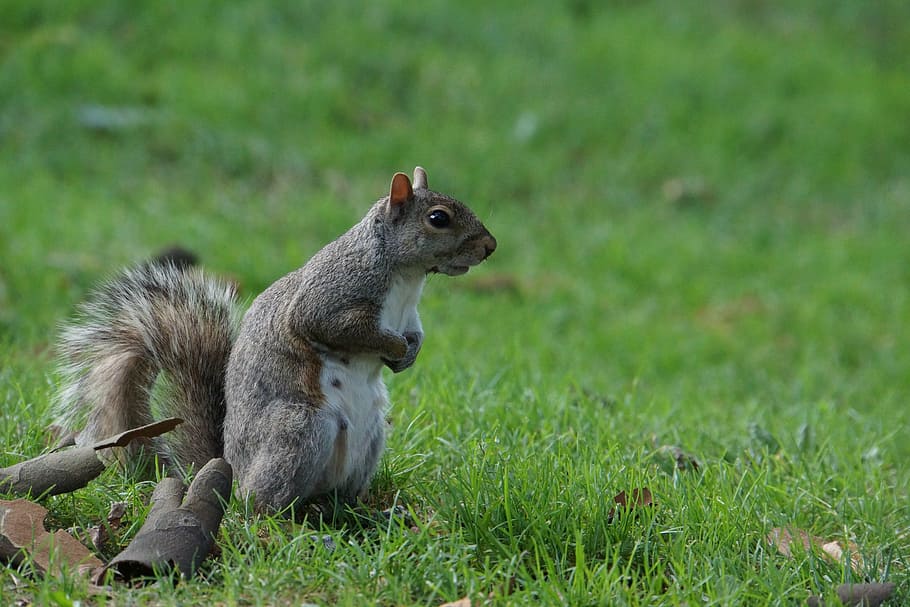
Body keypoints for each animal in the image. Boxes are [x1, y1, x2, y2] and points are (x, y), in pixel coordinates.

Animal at [52, 167, 496, 513]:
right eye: (438, 218)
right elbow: (337, 327)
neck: (407, 279)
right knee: (260, 503)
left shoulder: (410, 316)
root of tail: (231, 470)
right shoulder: (329, 298)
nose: (490, 247)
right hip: (298, 430)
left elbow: (416, 334)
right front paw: (395, 349)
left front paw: (408, 354)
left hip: (370, 438)